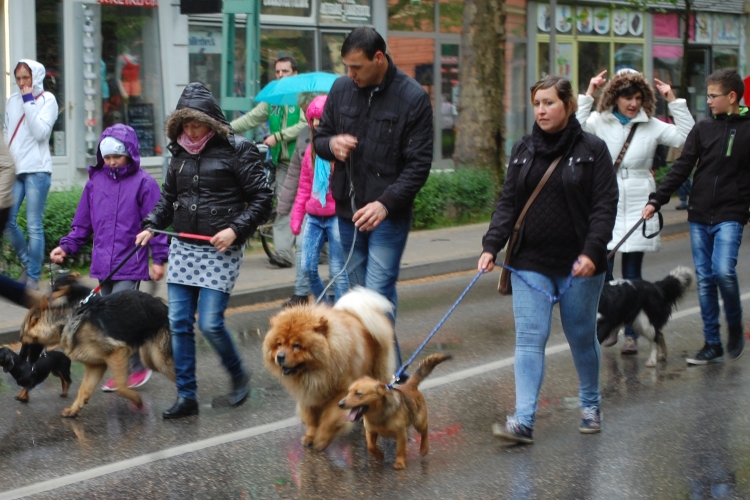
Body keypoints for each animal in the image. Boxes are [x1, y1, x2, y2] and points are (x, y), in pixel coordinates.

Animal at [20, 282, 176, 418]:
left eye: (22, 339)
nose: (21, 360)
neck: (65, 323)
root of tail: (163, 306)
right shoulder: (96, 366)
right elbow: (83, 390)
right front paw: (74, 410)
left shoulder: (117, 353)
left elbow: (121, 386)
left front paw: (137, 400)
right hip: (150, 359)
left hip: (160, 360)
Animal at [262, 286, 396, 454]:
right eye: (279, 344)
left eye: (296, 346)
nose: (279, 356)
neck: (315, 373)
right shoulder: (308, 395)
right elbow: (312, 419)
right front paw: (310, 436)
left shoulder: (340, 393)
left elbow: (329, 419)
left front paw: (321, 440)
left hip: (376, 371)